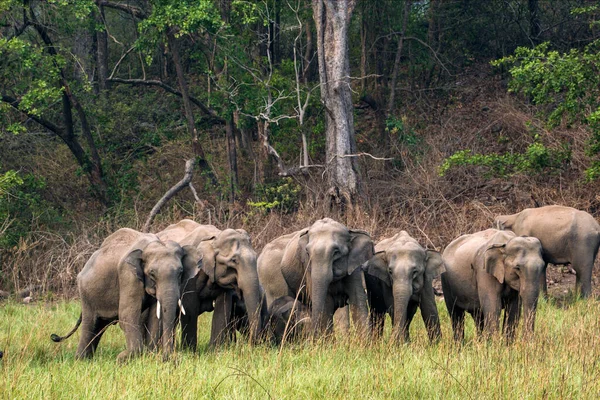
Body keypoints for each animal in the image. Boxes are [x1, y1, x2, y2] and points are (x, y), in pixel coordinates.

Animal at [49, 228, 199, 362]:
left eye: (180, 272)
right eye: (152, 274)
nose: (168, 359)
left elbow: (155, 316)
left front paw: (149, 355)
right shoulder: (128, 275)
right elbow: (127, 315)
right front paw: (123, 358)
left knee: (99, 326)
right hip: (86, 294)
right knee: (90, 324)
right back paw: (81, 361)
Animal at [154, 219, 262, 350]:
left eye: (256, 257)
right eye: (234, 260)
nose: (251, 345)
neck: (215, 238)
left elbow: (223, 307)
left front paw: (215, 350)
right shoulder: (190, 276)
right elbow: (190, 307)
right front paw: (189, 351)